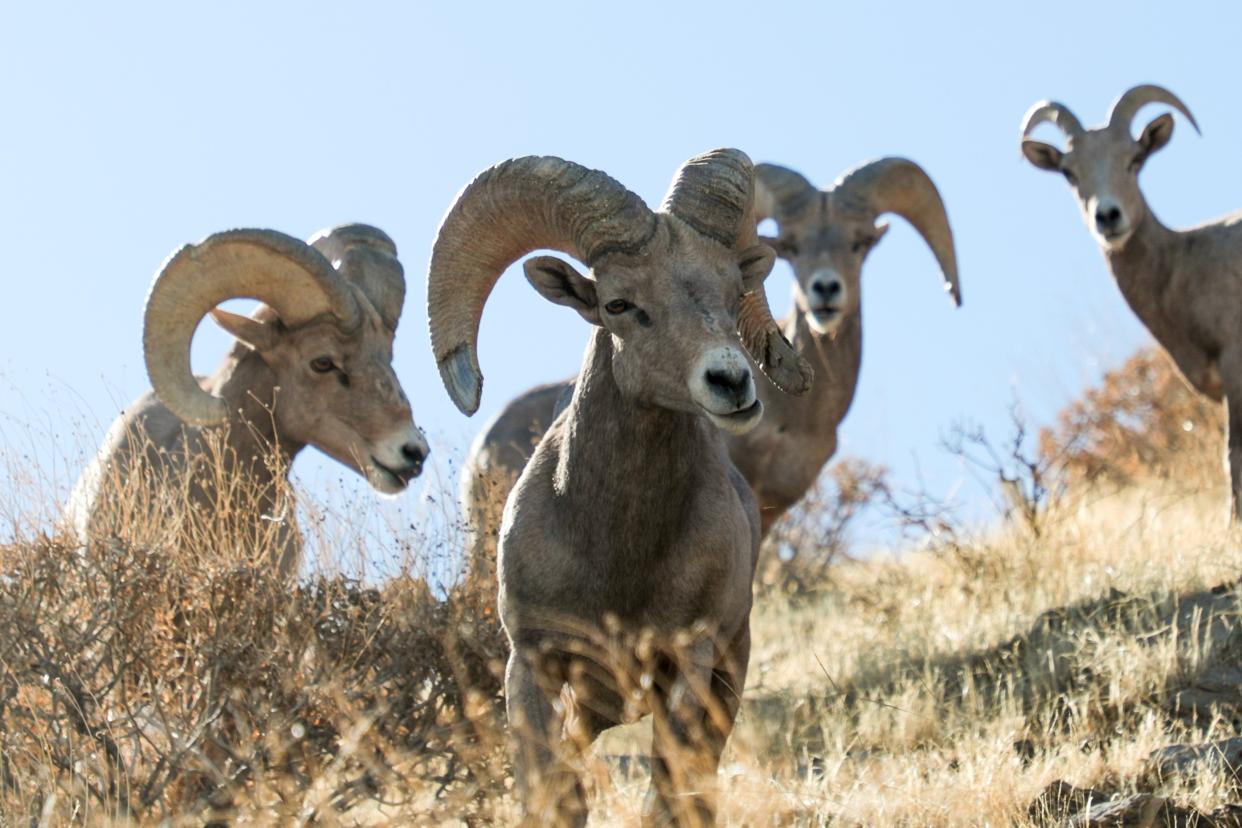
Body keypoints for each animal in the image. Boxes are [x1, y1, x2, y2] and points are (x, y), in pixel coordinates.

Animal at [429, 152, 814, 824]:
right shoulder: (532, 664)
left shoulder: (689, 663)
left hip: (722, 677)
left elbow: (668, 792)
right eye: (618, 304)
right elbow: (551, 796)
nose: (732, 382)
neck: (619, 558)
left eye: (729, 290)